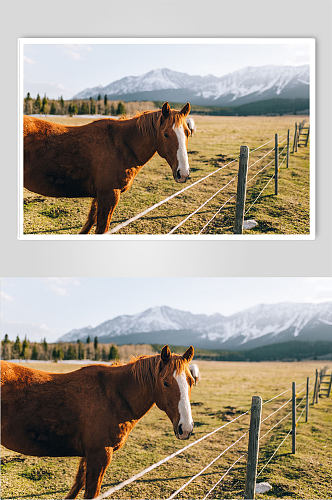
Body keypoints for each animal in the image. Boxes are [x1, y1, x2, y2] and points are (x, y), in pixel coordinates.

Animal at [0, 346, 195, 498]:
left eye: (191, 381)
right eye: (166, 383)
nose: (185, 428)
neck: (114, 396)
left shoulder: (88, 455)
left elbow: (78, 484)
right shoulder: (100, 454)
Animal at [24, 103, 192, 234]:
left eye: (188, 132)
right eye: (166, 134)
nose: (183, 173)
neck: (120, 145)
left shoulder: (99, 195)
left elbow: (91, 221)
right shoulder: (109, 195)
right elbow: (101, 228)